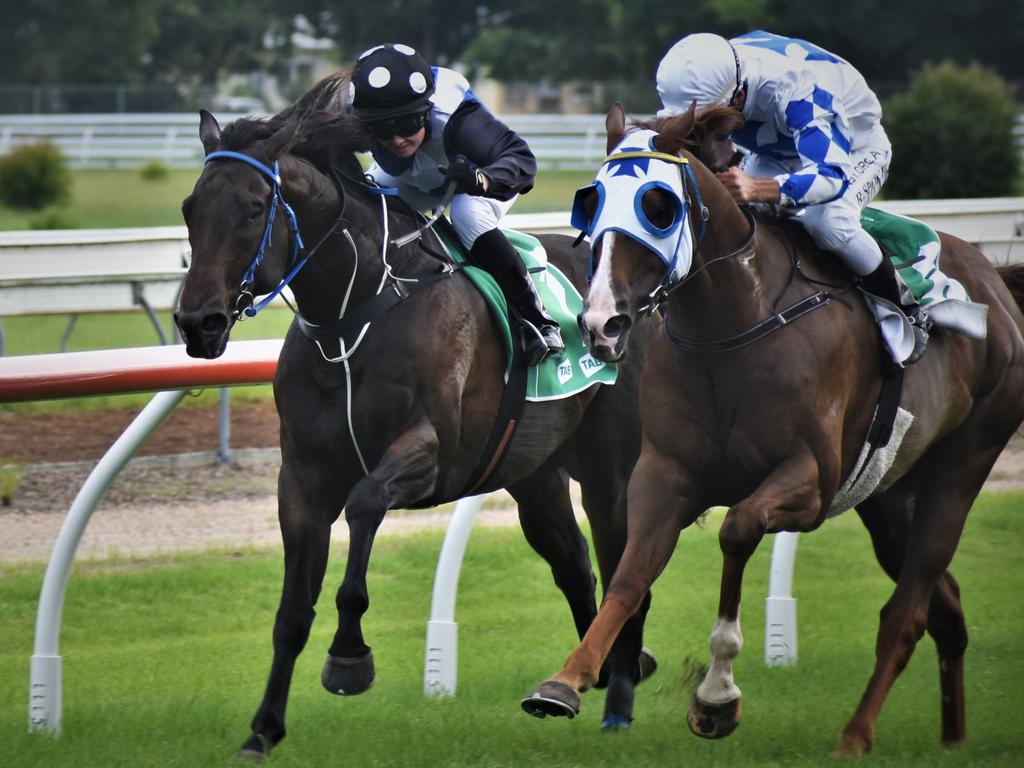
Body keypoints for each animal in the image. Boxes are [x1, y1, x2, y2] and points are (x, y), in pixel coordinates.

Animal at [176, 81, 655, 761]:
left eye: (252, 208)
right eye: (191, 207)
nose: (199, 324)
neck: (352, 315)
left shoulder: (429, 454)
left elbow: (364, 506)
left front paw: (349, 656)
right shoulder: (302, 478)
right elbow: (292, 611)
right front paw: (263, 729)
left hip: (609, 468)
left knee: (623, 568)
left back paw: (619, 688)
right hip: (534, 475)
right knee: (574, 563)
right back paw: (580, 680)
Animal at [520, 103, 1024, 757]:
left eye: (657, 205)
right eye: (591, 202)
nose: (601, 322)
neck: (732, 324)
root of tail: (994, 284)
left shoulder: (808, 480)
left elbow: (737, 530)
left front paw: (716, 696)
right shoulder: (664, 473)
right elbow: (629, 574)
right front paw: (567, 680)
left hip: (961, 467)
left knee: (907, 613)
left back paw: (855, 735)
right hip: (888, 497)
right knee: (946, 606)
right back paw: (953, 737)